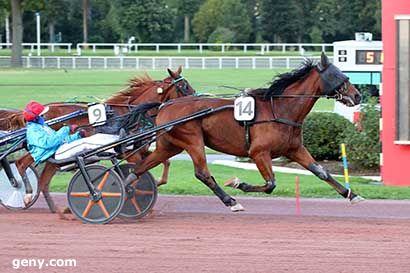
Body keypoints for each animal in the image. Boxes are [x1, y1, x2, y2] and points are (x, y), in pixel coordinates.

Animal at [3, 67, 195, 211]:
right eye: (184, 86)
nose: (195, 98)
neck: (129, 114)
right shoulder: (128, 152)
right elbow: (138, 168)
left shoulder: (138, 149)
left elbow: (164, 161)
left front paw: (158, 182)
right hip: (43, 147)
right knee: (21, 163)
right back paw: (25, 192)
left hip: (55, 157)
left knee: (43, 181)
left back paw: (57, 210)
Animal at [127, 53, 362, 210]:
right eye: (338, 75)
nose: (358, 95)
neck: (280, 109)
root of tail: (164, 106)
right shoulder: (259, 152)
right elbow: (270, 184)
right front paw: (238, 183)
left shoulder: (294, 149)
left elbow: (321, 172)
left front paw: (351, 194)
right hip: (192, 140)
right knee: (202, 173)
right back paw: (231, 201)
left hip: (170, 145)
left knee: (140, 166)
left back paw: (127, 189)